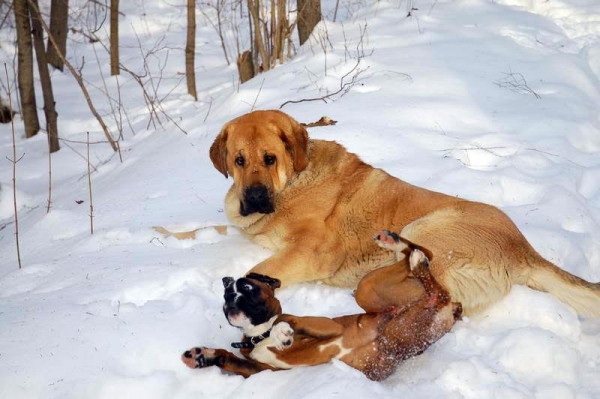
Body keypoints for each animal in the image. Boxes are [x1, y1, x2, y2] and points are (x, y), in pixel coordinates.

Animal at [180, 238, 462, 382]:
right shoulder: (263, 370)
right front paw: (204, 356)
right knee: (434, 284)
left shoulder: (329, 326)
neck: (257, 335)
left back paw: (400, 248)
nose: (230, 292)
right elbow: (231, 359)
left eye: (248, 288)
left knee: (429, 260)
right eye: (226, 294)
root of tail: (453, 309)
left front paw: (282, 332)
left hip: (367, 291)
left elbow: (289, 321)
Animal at [210, 109, 600, 318]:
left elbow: (256, 272)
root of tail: (523, 250)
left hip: (427, 228)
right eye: (239, 160)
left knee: (419, 278)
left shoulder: (309, 251)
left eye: (270, 158)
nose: (254, 197)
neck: (292, 181)